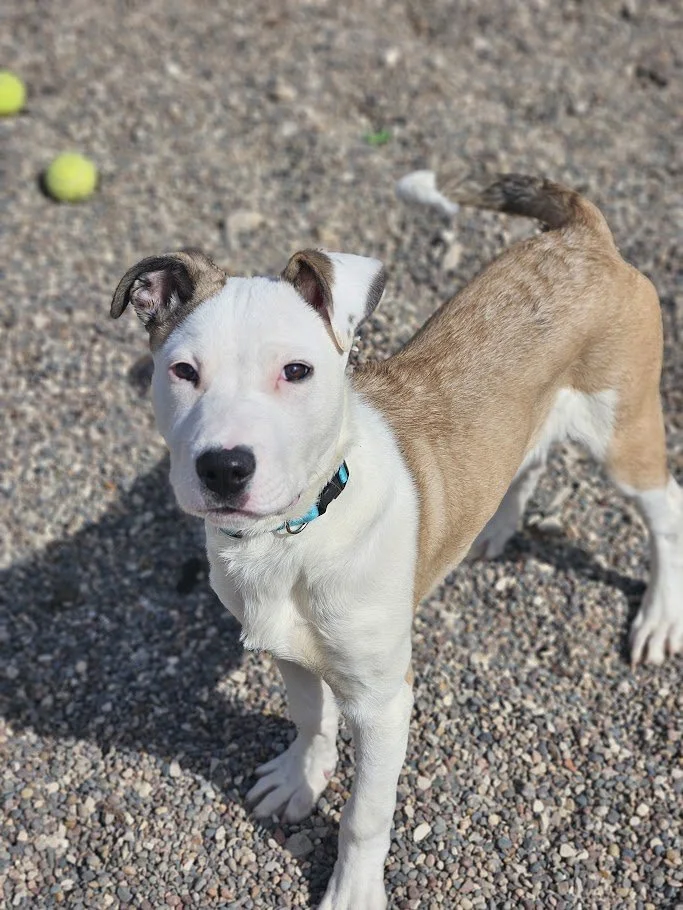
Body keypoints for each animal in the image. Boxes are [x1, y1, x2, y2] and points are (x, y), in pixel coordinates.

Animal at [111, 172, 683, 909]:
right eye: (183, 371)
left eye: (296, 371)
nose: (224, 467)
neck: (296, 535)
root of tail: (582, 232)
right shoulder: (290, 652)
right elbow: (309, 717)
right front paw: (300, 779)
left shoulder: (384, 701)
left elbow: (364, 815)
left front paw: (352, 890)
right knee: (527, 456)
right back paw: (497, 528)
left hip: (623, 428)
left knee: (666, 509)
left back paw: (658, 616)